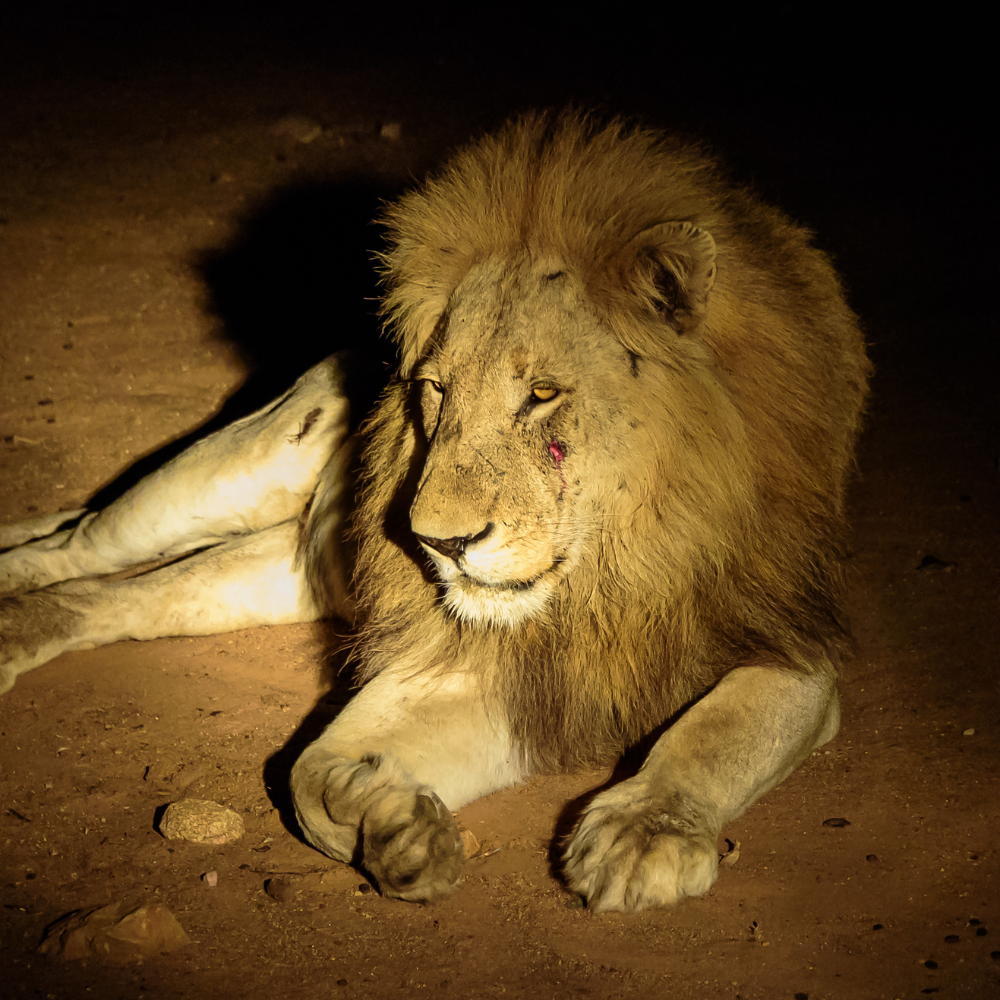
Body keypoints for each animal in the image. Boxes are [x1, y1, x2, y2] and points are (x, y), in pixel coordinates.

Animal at [0, 112, 869, 912]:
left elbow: (719, 732)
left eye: (542, 393)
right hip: (226, 474)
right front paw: (395, 826)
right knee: (77, 541)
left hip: (285, 571)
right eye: (435, 389)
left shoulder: (791, 644)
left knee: (116, 596)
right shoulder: (479, 656)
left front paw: (642, 833)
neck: (617, 567)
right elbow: (307, 776)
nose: (437, 542)